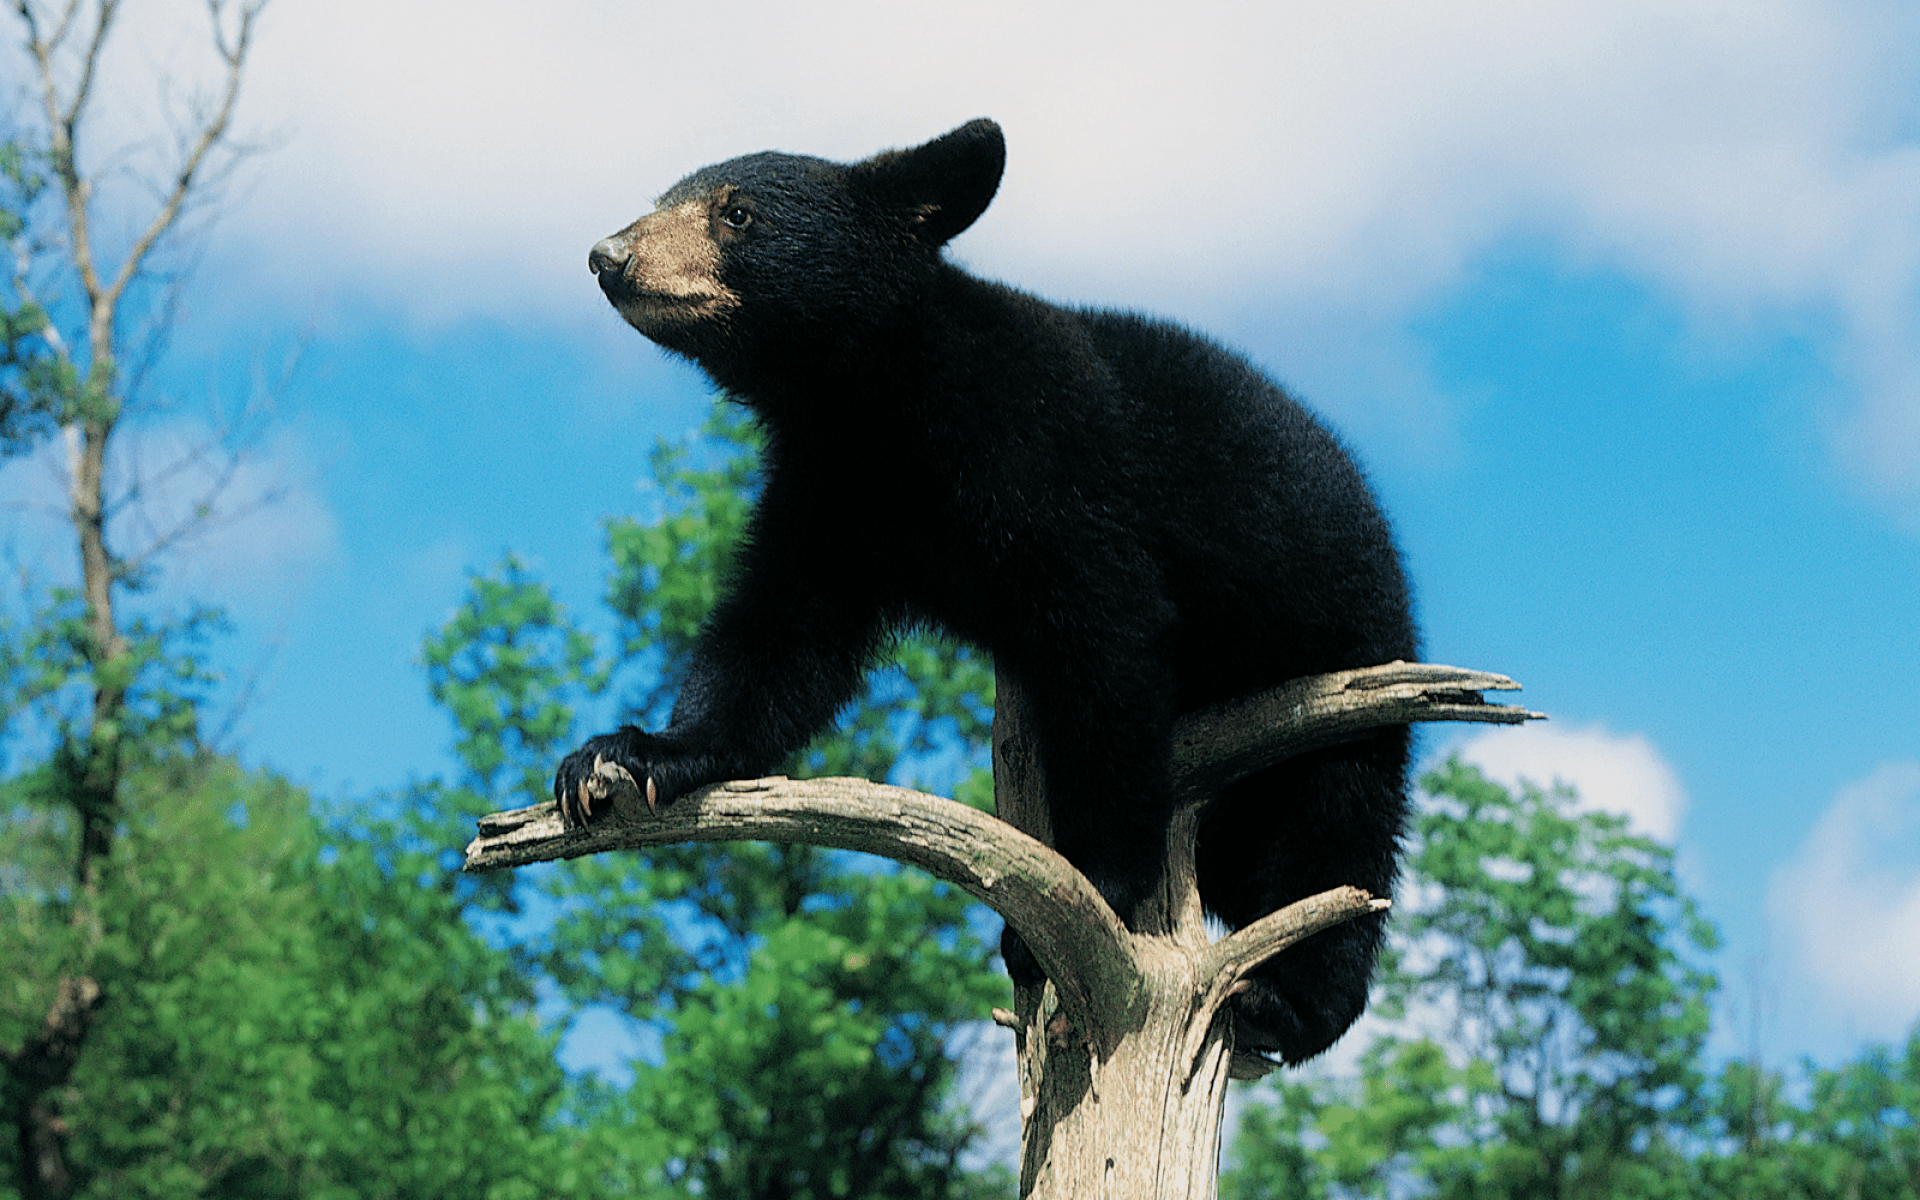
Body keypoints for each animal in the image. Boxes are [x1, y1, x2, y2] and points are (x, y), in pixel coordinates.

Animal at [555, 118, 1417, 1065]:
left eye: (736, 212)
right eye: (662, 197)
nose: (608, 254)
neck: (877, 398)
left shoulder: (1052, 459)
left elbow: (1108, 644)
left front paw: (1096, 883)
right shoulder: (834, 494)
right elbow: (779, 639)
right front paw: (625, 755)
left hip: (1343, 662)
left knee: (1336, 834)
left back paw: (1288, 1002)